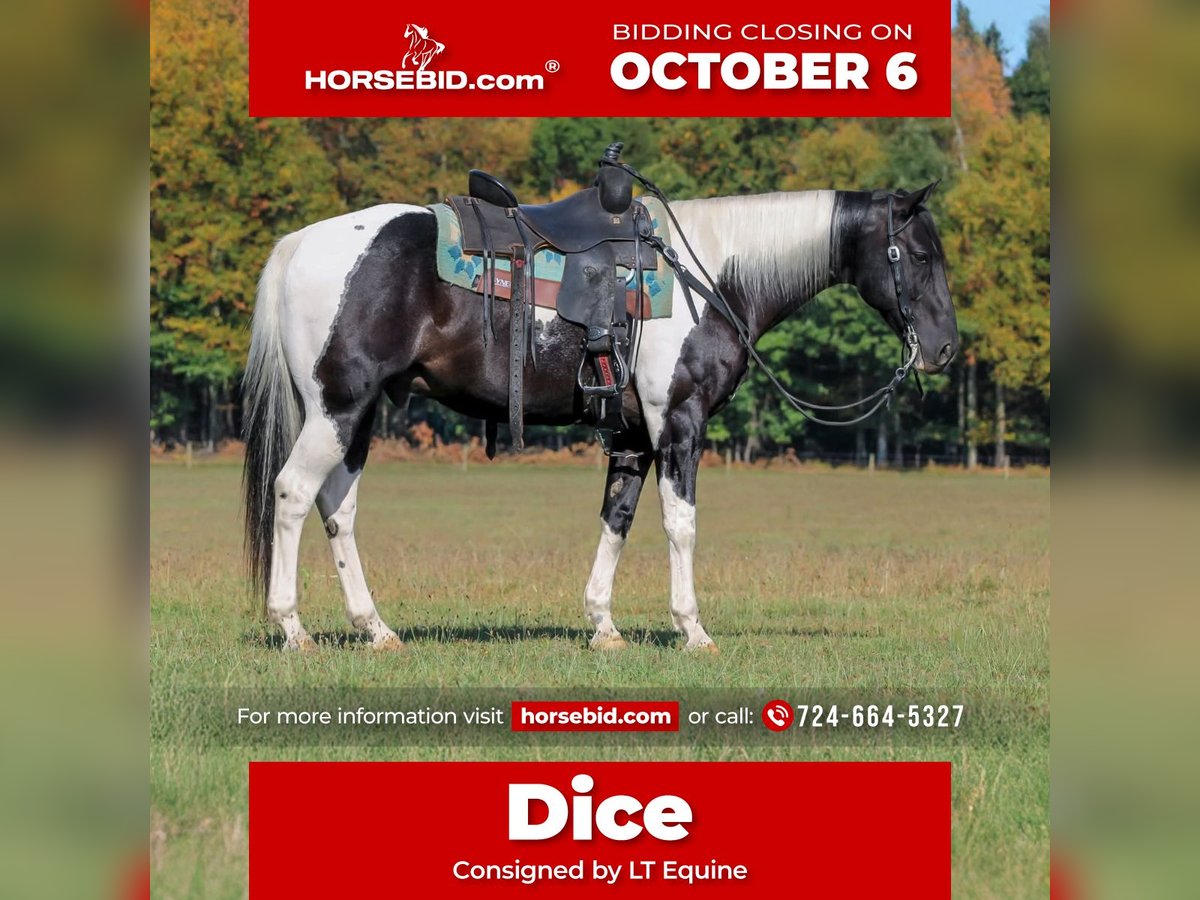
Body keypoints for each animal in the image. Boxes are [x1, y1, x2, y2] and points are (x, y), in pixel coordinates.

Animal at [242, 183, 958, 653]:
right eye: (921, 255)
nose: (946, 348)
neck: (711, 275)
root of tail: (302, 243)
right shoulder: (679, 424)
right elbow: (680, 525)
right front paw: (692, 629)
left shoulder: (634, 436)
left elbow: (617, 520)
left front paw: (604, 626)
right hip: (337, 408)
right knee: (294, 494)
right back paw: (292, 628)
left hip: (354, 417)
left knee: (338, 509)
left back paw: (376, 629)